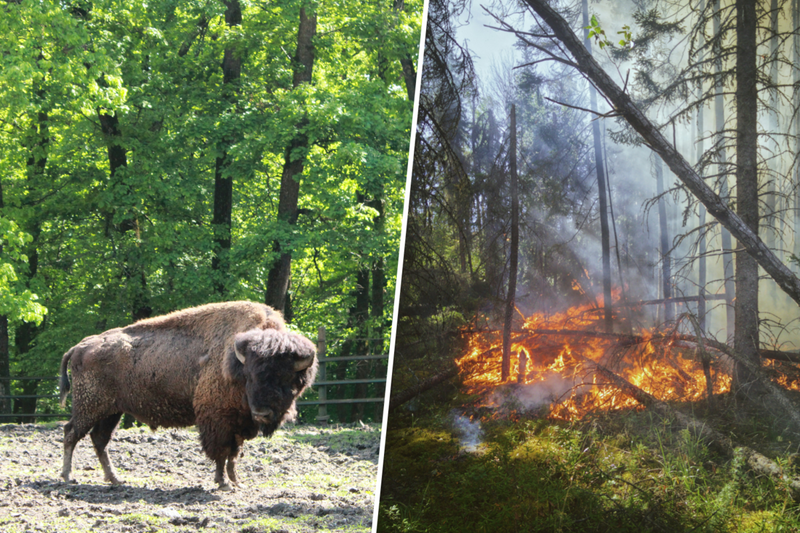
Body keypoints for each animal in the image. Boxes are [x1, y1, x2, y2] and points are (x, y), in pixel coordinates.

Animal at [59, 301, 317, 489]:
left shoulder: (239, 423)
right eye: (250, 377)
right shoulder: (217, 420)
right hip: (90, 408)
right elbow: (221, 452)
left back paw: (115, 479)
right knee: (71, 433)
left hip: (111, 412)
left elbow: (234, 454)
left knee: (99, 440)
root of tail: (80, 346)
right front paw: (223, 483)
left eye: (286, 378)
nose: (262, 413)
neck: (235, 362)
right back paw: (68, 477)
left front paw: (237, 482)